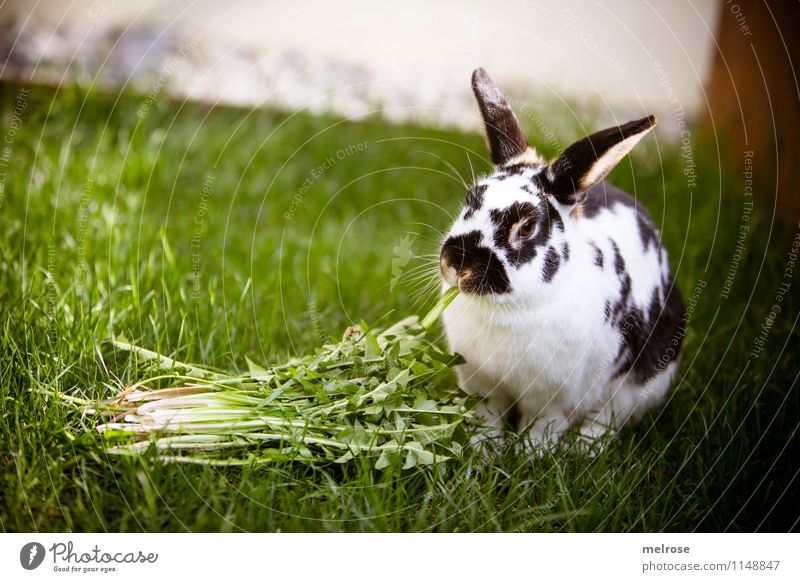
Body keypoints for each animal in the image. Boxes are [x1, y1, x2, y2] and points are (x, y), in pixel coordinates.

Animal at [440, 69, 684, 452]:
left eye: (526, 227)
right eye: (469, 200)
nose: (457, 265)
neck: (510, 311)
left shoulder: (554, 399)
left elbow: (542, 426)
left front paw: (530, 455)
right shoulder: (482, 386)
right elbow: (487, 418)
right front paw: (483, 450)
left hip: (640, 382)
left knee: (609, 419)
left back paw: (584, 449)